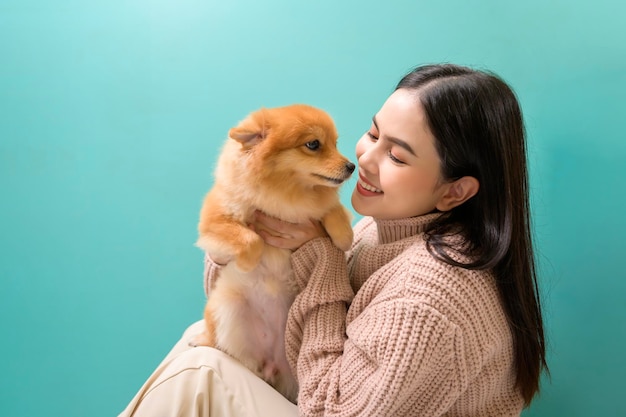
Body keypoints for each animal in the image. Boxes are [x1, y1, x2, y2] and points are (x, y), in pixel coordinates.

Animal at [188, 103, 354, 400]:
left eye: (335, 144)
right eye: (314, 144)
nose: (351, 166)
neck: (286, 193)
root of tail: (270, 365)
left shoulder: (316, 208)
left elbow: (332, 210)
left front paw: (344, 236)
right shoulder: (214, 220)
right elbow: (250, 239)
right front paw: (246, 262)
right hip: (225, 306)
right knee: (217, 339)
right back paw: (202, 340)